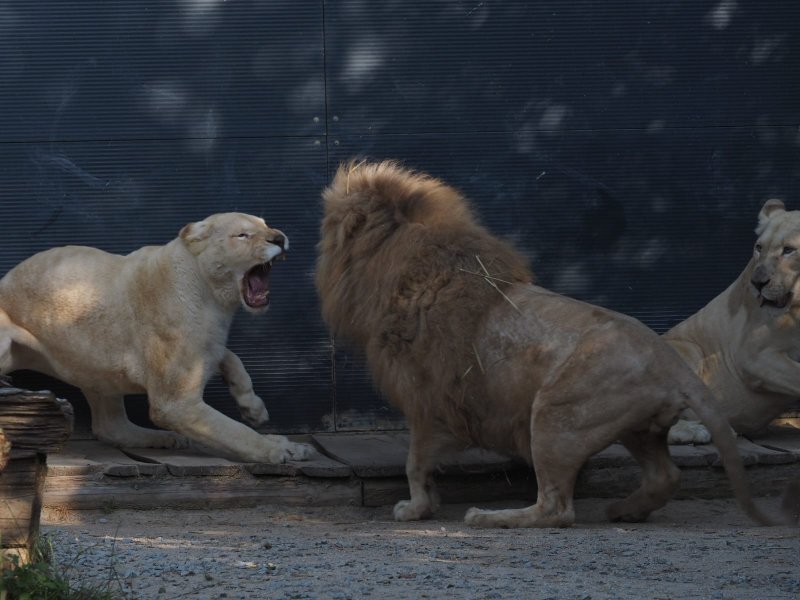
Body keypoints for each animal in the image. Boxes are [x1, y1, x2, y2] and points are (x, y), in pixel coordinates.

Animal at [0, 214, 312, 464]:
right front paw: (279, 450)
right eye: (242, 235)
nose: (279, 238)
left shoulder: (208, 346)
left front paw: (254, 410)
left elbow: (233, 358)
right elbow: (232, 431)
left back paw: (163, 439)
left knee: (110, 427)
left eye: (266, 224)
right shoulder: (175, 403)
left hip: (94, 366)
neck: (216, 302)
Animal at [318, 162, 780, 528]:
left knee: (556, 509)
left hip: (554, 417)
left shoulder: (427, 402)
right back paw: (624, 511)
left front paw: (416, 509)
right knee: (665, 477)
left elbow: (415, 463)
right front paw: (426, 504)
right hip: (636, 428)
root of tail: (674, 366)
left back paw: (490, 517)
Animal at [664, 199, 800, 442]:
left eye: (789, 250)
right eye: (759, 248)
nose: (758, 283)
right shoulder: (751, 356)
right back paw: (698, 430)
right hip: (687, 349)